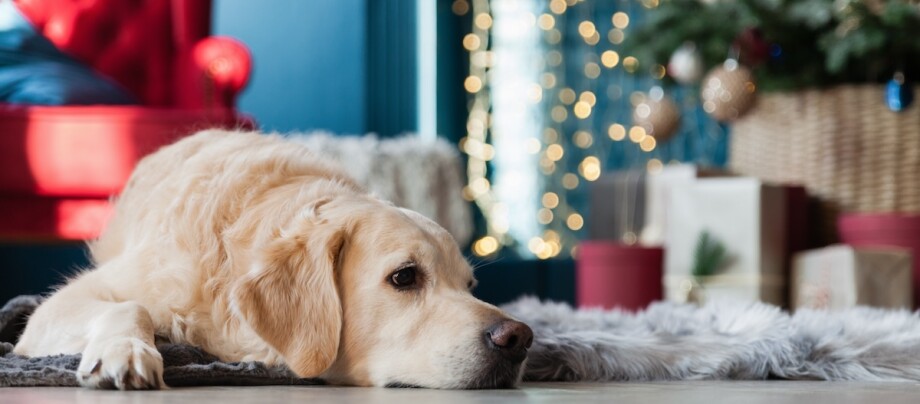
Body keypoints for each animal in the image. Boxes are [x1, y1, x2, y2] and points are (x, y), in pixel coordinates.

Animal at [14, 131, 532, 390]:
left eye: (470, 287)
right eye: (404, 277)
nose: (519, 338)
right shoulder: (52, 311)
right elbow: (130, 306)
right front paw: (126, 351)